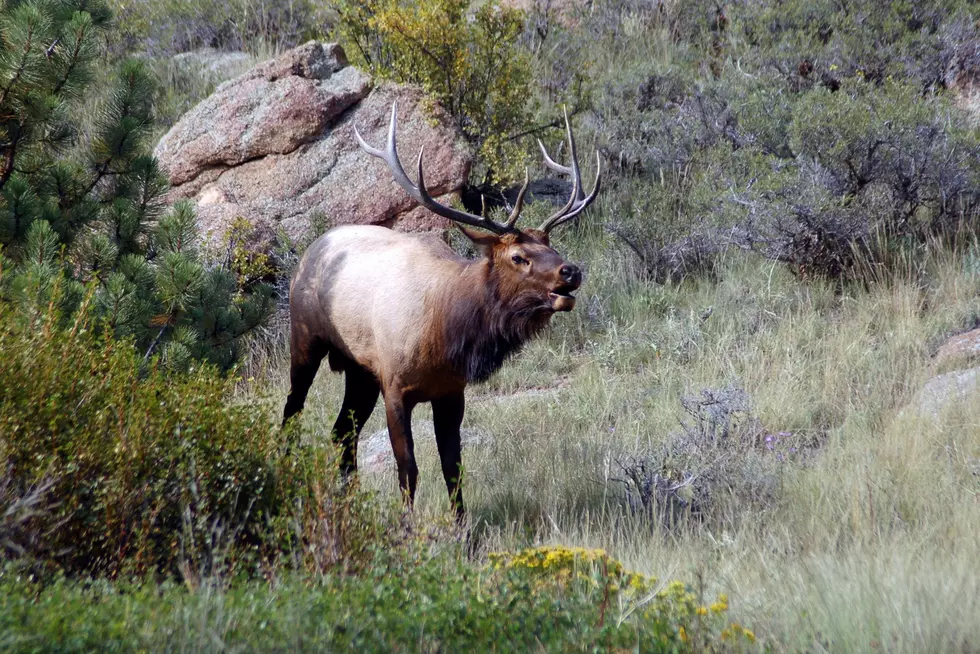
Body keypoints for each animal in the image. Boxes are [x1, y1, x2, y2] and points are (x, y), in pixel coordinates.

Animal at [284, 105, 600, 520]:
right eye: (518, 257)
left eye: (552, 246)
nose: (571, 271)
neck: (446, 331)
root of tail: (312, 247)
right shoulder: (395, 386)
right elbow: (408, 468)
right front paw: (406, 525)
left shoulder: (451, 391)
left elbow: (453, 466)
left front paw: (461, 527)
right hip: (306, 340)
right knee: (293, 412)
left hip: (360, 370)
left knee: (341, 433)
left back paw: (347, 502)